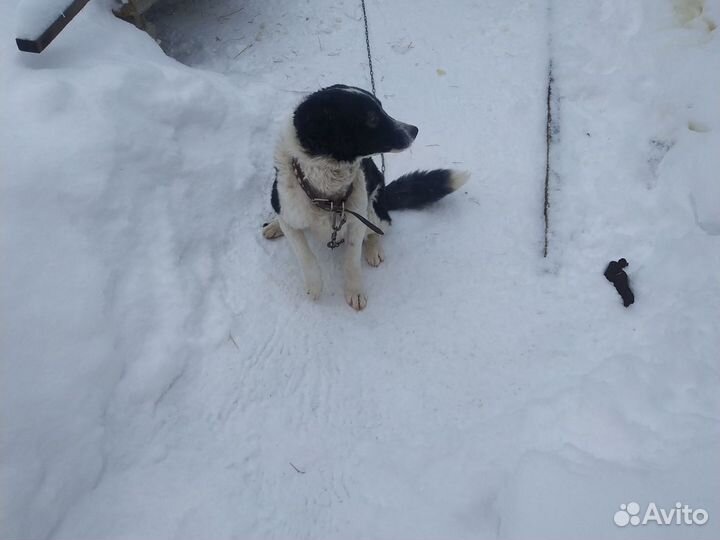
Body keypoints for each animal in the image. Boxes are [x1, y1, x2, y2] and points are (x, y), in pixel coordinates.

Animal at [262, 85, 470, 312]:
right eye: (371, 118)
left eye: (381, 107)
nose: (414, 130)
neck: (327, 194)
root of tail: (385, 195)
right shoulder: (288, 212)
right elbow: (304, 254)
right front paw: (314, 285)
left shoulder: (355, 221)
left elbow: (352, 261)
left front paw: (355, 291)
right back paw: (274, 225)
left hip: (371, 210)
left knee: (377, 230)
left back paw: (373, 249)